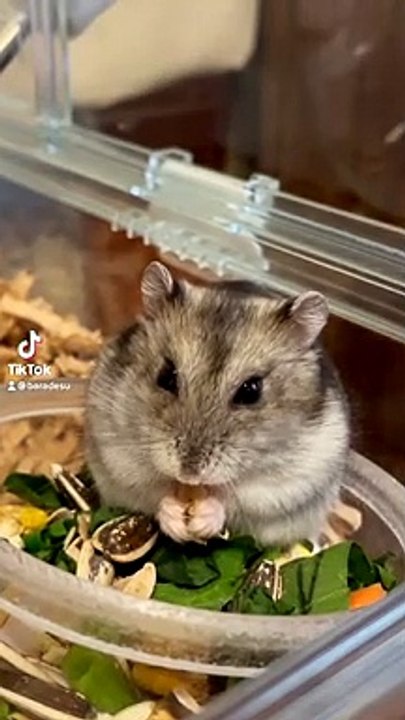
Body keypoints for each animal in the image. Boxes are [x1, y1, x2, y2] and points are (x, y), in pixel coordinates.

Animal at [85, 261, 350, 547]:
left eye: (251, 391)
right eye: (166, 377)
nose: (189, 473)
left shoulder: (289, 482)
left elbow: (234, 499)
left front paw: (202, 520)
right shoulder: (116, 452)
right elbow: (154, 490)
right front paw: (176, 520)